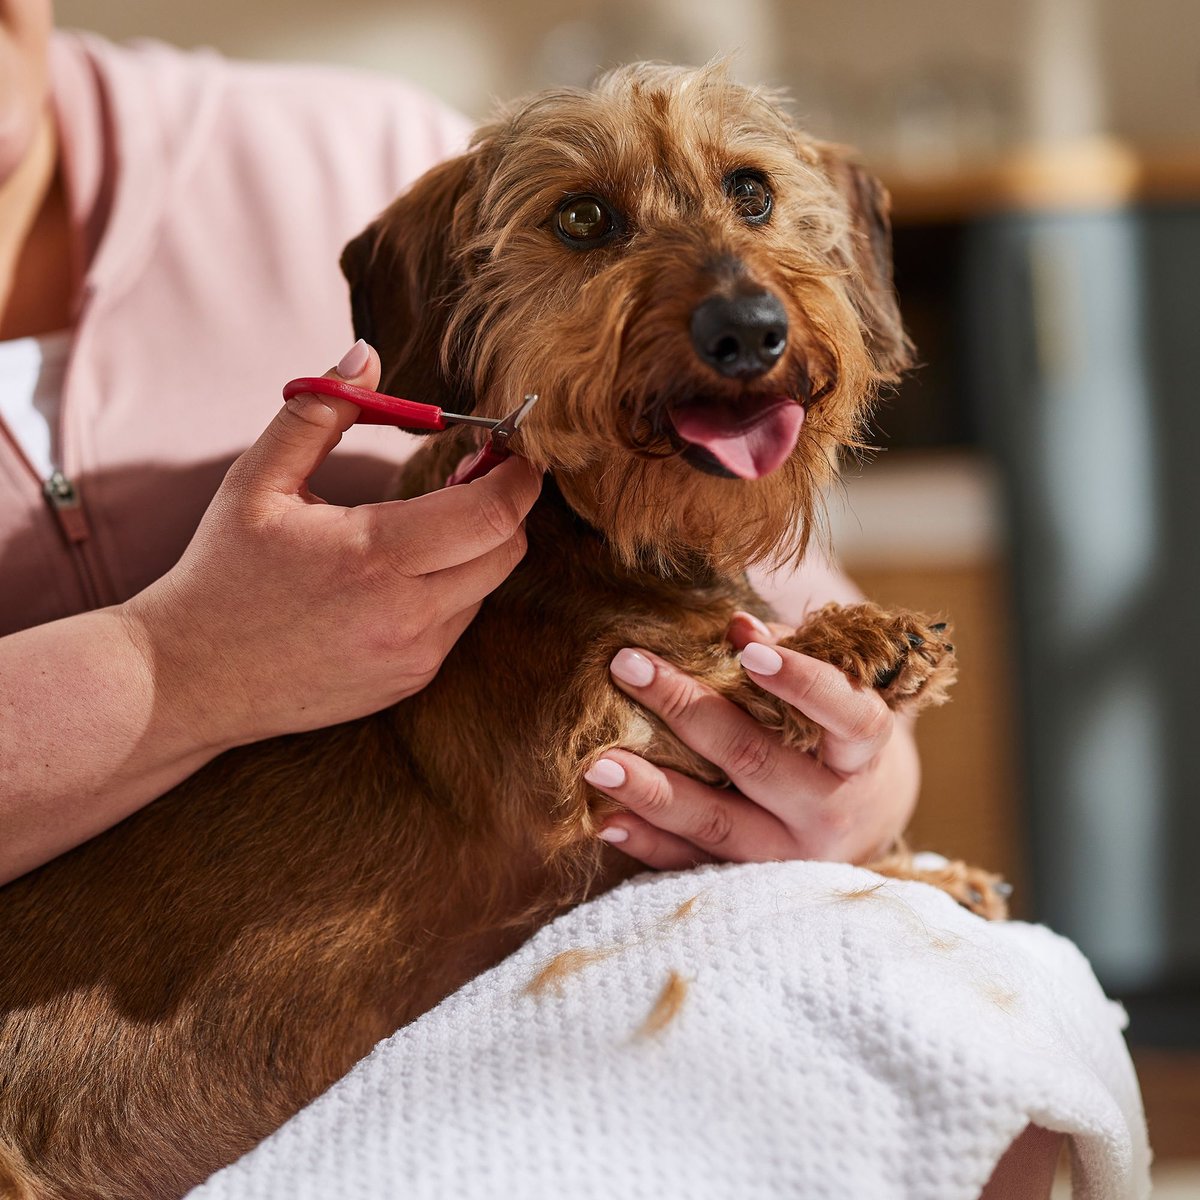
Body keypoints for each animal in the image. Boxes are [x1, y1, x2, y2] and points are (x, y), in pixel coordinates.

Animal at [0, 63, 1003, 1200]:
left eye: (750, 191)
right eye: (583, 217)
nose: (748, 329)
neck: (601, 532)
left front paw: (928, 856)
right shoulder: (573, 775)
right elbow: (698, 687)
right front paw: (849, 646)